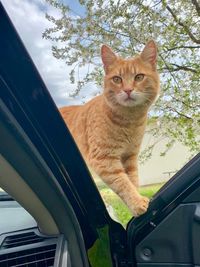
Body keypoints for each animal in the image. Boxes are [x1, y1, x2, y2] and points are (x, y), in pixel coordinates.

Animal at [60, 40, 160, 217]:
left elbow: (132, 180)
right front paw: (137, 203)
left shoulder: (129, 157)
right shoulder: (104, 159)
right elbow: (123, 182)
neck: (129, 121)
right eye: (117, 79)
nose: (128, 90)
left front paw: (136, 199)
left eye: (139, 77)